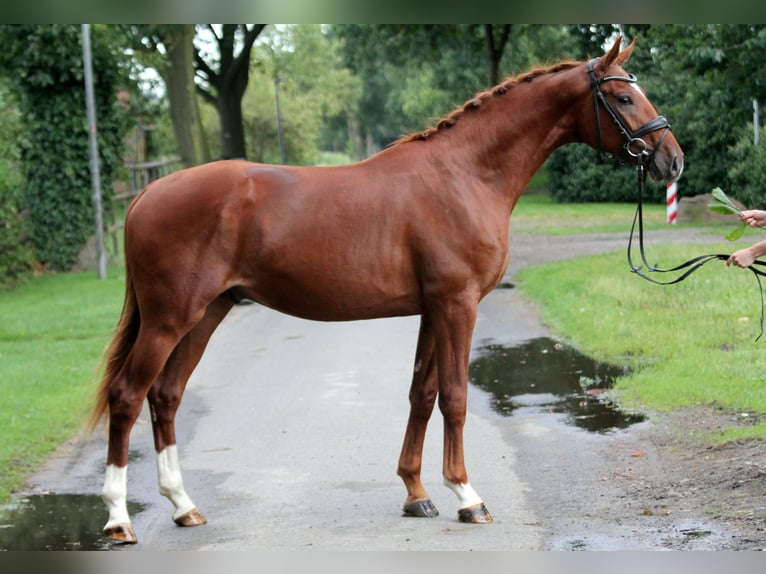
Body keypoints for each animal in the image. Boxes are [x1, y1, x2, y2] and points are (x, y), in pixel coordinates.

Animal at [88, 38, 684, 548]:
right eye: (624, 96)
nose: (672, 159)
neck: (466, 174)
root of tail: (147, 192)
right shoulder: (457, 304)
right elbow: (455, 398)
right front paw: (467, 496)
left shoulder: (432, 309)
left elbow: (422, 394)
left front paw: (416, 494)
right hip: (169, 317)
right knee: (128, 395)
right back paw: (118, 519)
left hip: (206, 313)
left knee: (166, 396)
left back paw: (183, 506)